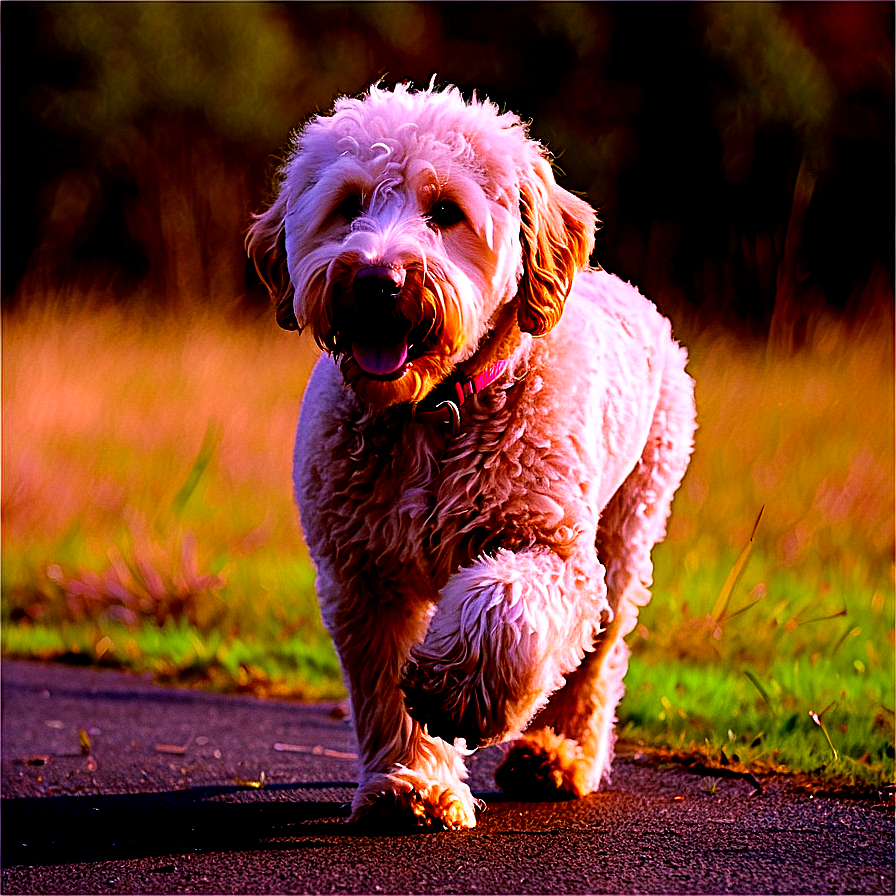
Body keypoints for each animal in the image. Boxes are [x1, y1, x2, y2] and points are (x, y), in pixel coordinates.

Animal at [248, 80, 696, 828]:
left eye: (446, 211)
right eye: (348, 205)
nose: (376, 279)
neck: (433, 412)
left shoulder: (556, 553)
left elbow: (503, 604)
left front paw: (454, 694)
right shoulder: (362, 575)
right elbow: (381, 685)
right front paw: (409, 784)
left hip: (628, 533)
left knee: (598, 658)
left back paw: (558, 756)